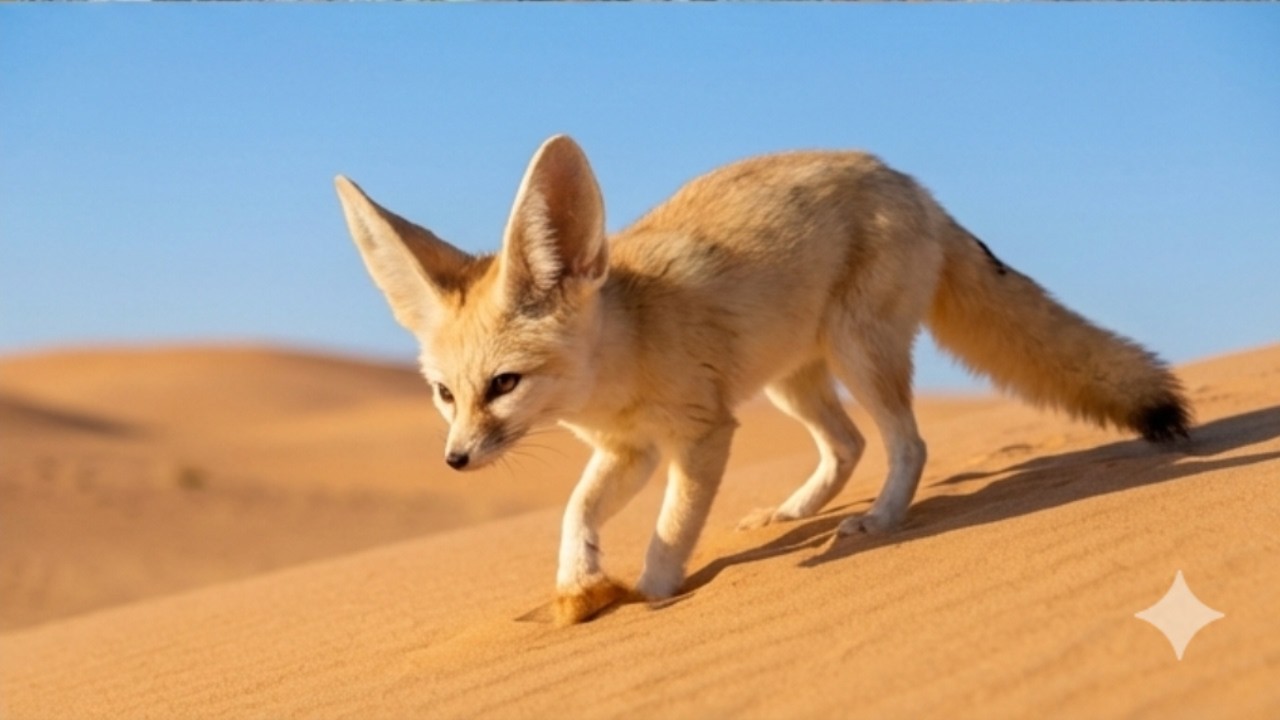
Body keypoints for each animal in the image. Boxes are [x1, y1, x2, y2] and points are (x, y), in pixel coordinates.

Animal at [335, 135, 1190, 626]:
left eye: (504, 384)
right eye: (446, 395)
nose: (454, 460)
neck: (625, 358)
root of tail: (905, 178)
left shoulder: (701, 435)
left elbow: (672, 529)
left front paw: (650, 593)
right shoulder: (630, 449)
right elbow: (575, 510)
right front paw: (578, 579)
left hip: (856, 353)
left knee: (907, 444)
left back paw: (879, 521)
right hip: (795, 379)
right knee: (846, 445)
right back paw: (791, 512)